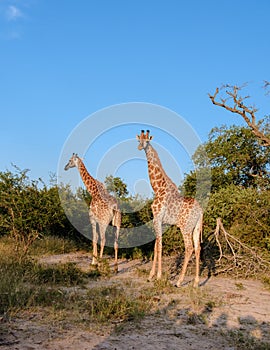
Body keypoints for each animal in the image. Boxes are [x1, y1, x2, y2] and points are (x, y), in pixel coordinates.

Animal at [137, 130, 202, 286]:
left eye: (147, 140)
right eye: (138, 139)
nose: (140, 147)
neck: (158, 188)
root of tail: (201, 211)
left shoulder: (157, 218)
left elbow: (159, 246)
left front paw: (158, 276)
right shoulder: (161, 222)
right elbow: (156, 245)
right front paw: (151, 275)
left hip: (185, 227)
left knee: (189, 248)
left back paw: (179, 281)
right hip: (196, 227)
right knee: (198, 248)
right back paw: (196, 282)